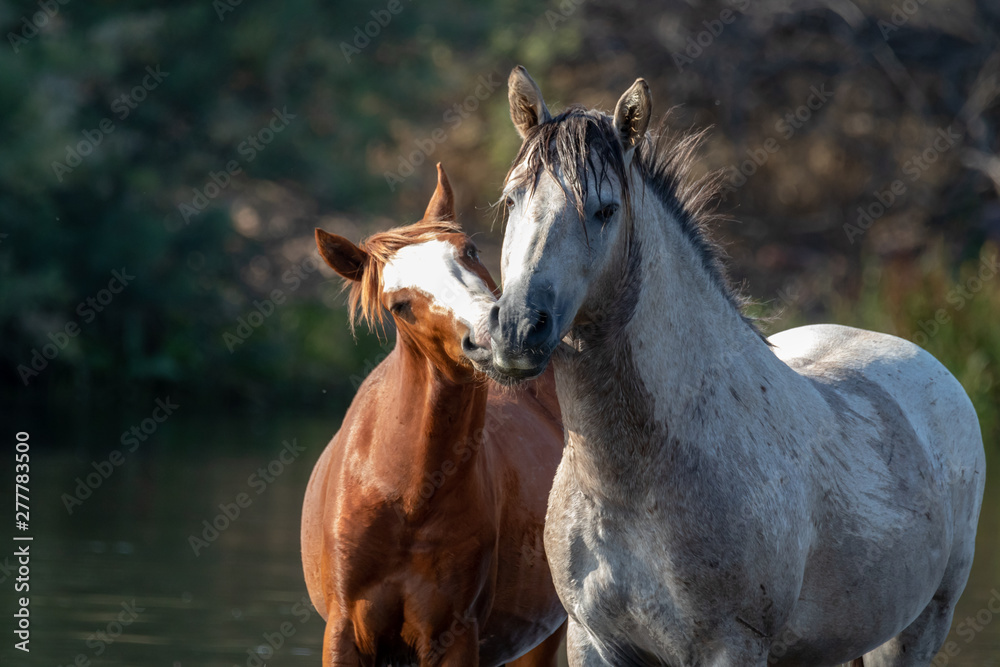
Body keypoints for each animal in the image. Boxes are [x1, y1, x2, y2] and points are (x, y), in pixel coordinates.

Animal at [301, 163, 567, 667]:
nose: (499, 336)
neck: (405, 497)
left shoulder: (454, 635)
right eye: (399, 304)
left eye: (471, 251)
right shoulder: (343, 633)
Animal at [481, 67, 986, 666]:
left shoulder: (731, 645)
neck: (632, 483)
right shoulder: (592, 641)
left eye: (605, 210)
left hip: (913, 633)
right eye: (513, 199)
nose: (517, 328)